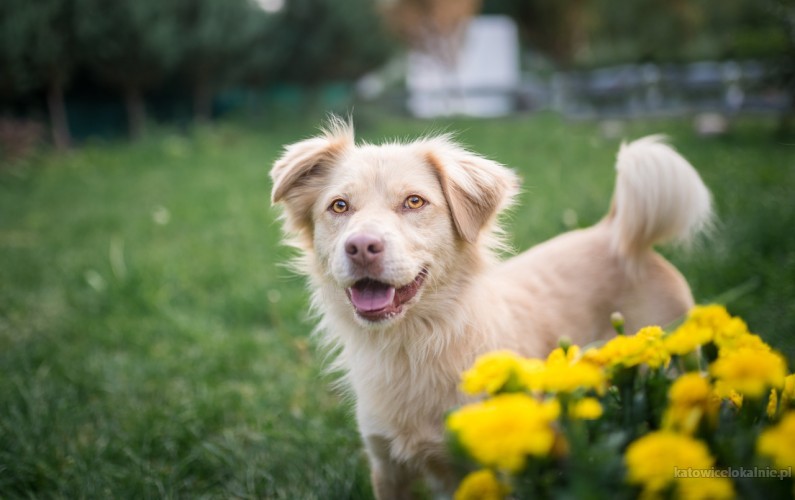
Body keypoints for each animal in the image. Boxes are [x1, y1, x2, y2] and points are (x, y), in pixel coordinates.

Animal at [270, 118, 712, 500]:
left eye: (414, 202)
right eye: (339, 206)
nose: (361, 246)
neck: (414, 344)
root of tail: (612, 231)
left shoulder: (498, 468)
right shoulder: (386, 466)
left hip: (672, 365)